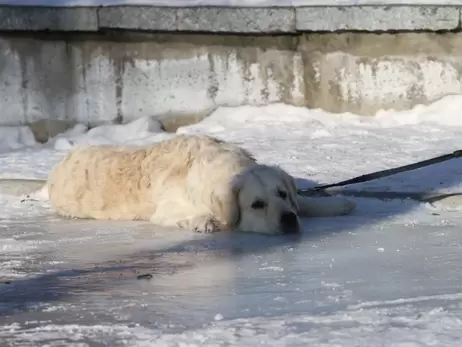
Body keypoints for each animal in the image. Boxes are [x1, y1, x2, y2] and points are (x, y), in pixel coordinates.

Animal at [45, 135, 356, 235]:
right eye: (257, 205)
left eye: (281, 194)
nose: (289, 220)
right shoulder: (166, 208)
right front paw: (202, 221)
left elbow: (304, 200)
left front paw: (337, 201)